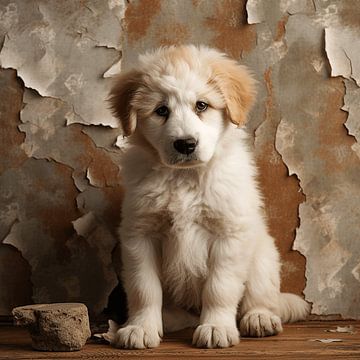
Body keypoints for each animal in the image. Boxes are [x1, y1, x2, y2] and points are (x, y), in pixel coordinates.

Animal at [107, 44, 310, 348]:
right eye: (161, 110)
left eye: (201, 105)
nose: (186, 144)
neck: (186, 177)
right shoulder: (140, 234)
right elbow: (144, 289)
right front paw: (140, 328)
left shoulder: (229, 234)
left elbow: (220, 288)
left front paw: (216, 327)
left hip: (263, 254)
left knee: (261, 296)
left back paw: (259, 318)